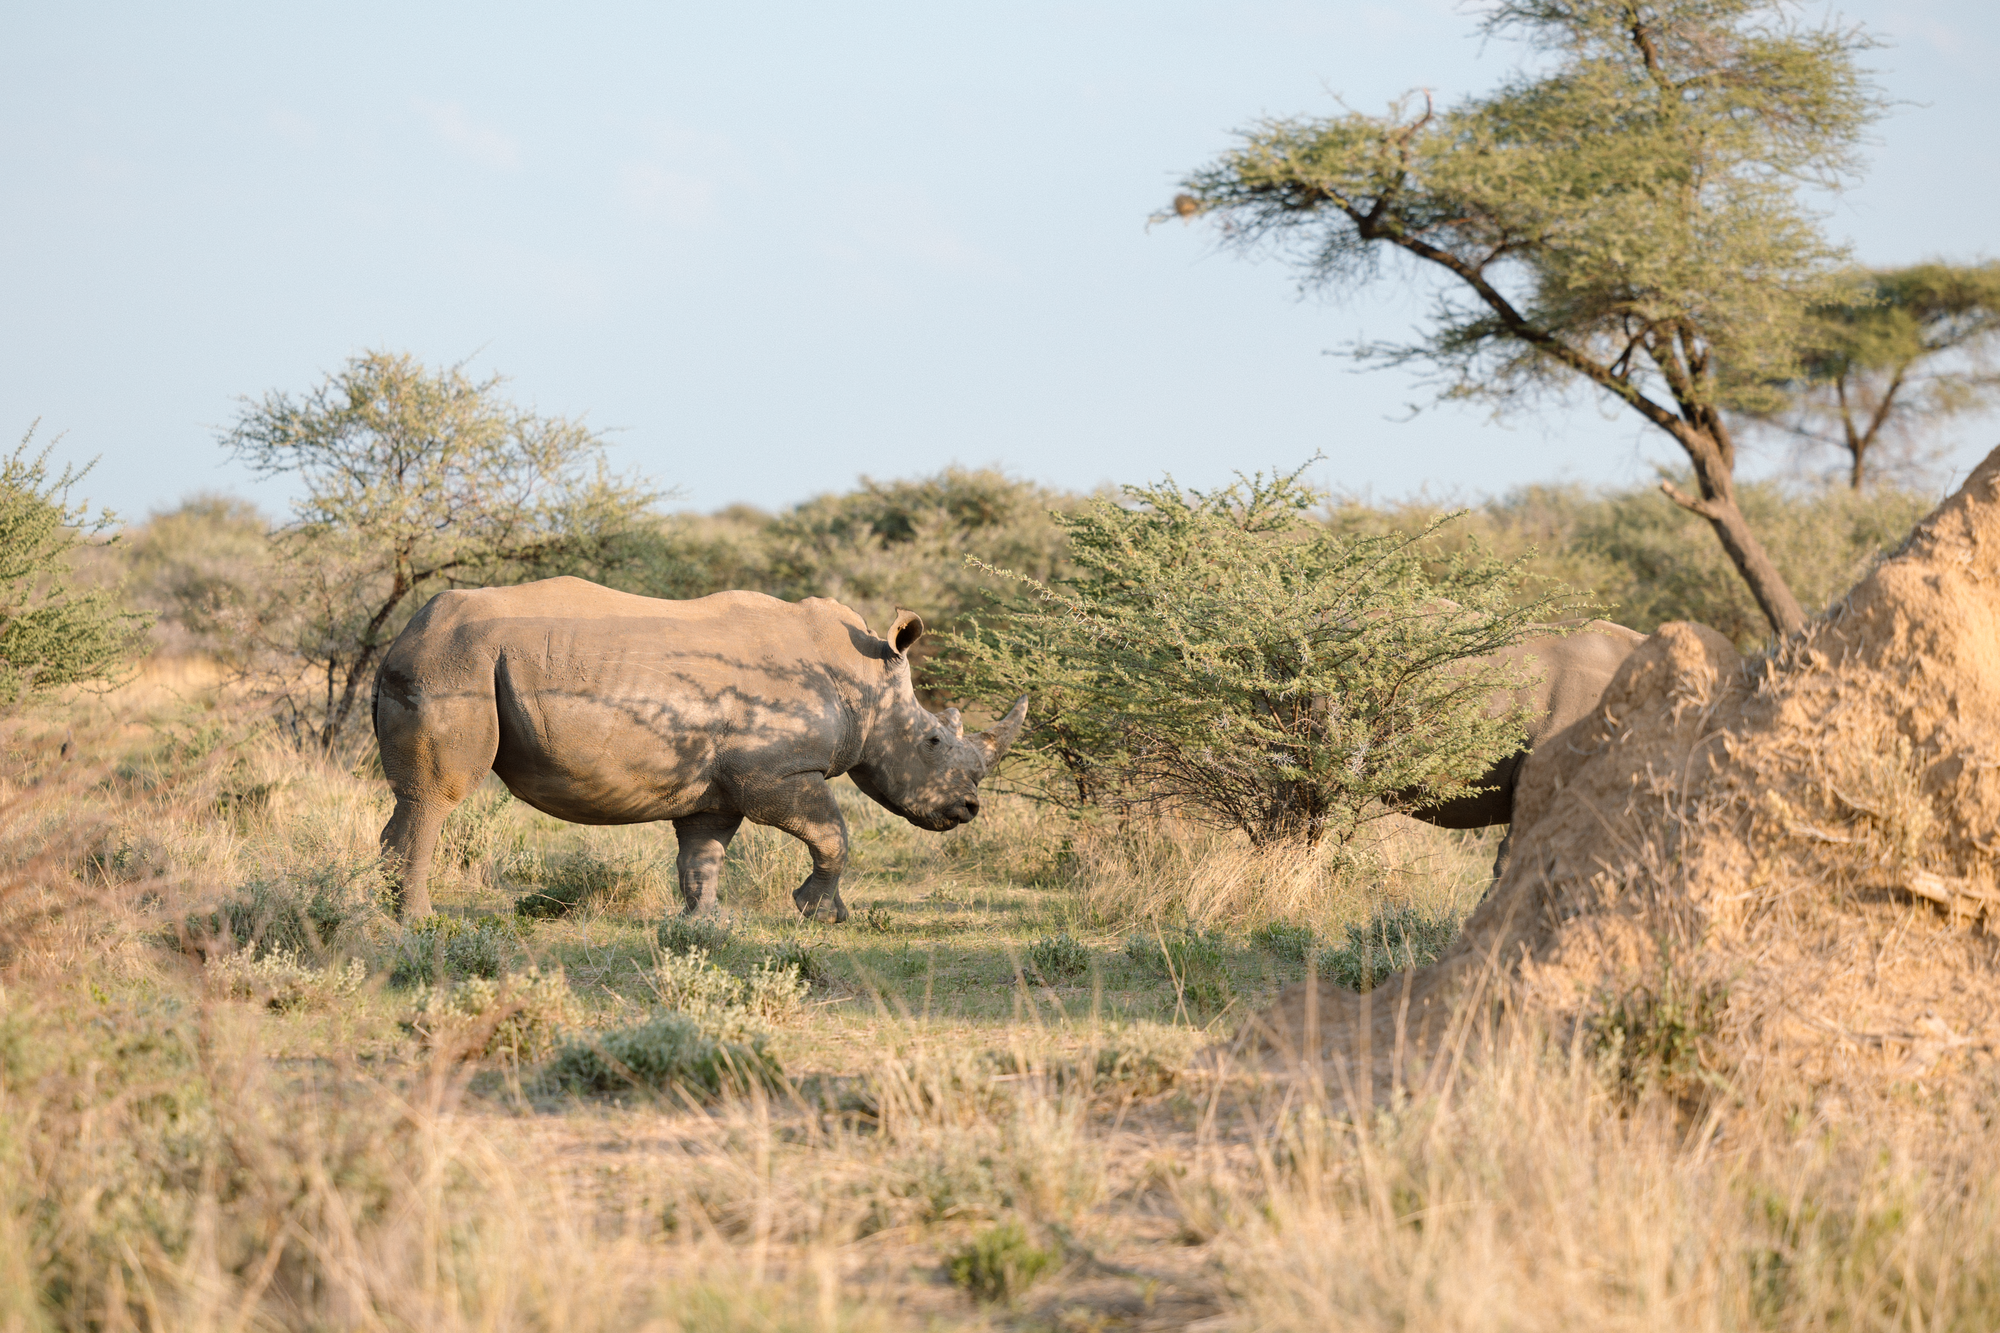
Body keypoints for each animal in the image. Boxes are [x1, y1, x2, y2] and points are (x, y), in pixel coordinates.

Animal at [370, 577, 1027, 923]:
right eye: (933, 741)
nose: (969, 810)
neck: (861, 681)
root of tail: (403, 636)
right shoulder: (775, 774)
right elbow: (834, 834)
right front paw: (820, 915)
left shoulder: (717, 788)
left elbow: (703, 855)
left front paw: (706, 924)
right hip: (455, 661)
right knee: (435, 798)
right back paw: (418, 921)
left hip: (443, 659)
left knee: (412, 799)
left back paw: (390, 911)